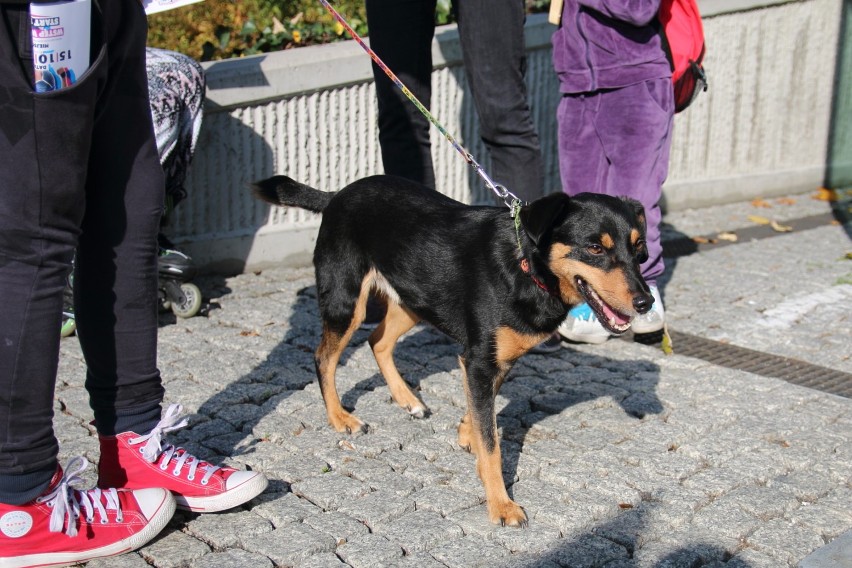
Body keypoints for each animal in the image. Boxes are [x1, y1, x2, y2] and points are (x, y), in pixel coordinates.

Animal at [251, 176, 652, 528]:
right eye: (595, 248)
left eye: (638, 248)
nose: (645, 302)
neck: (525, 266)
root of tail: (336, 195)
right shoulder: (480, 360)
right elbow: (491, 444)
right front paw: (501, 504)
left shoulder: (490, 359)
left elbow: (482, 415)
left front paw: (466, 433)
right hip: (346, 301)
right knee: (324, 357)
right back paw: (340, 418)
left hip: (413, 298)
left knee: (378, 341)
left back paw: (407, 399)